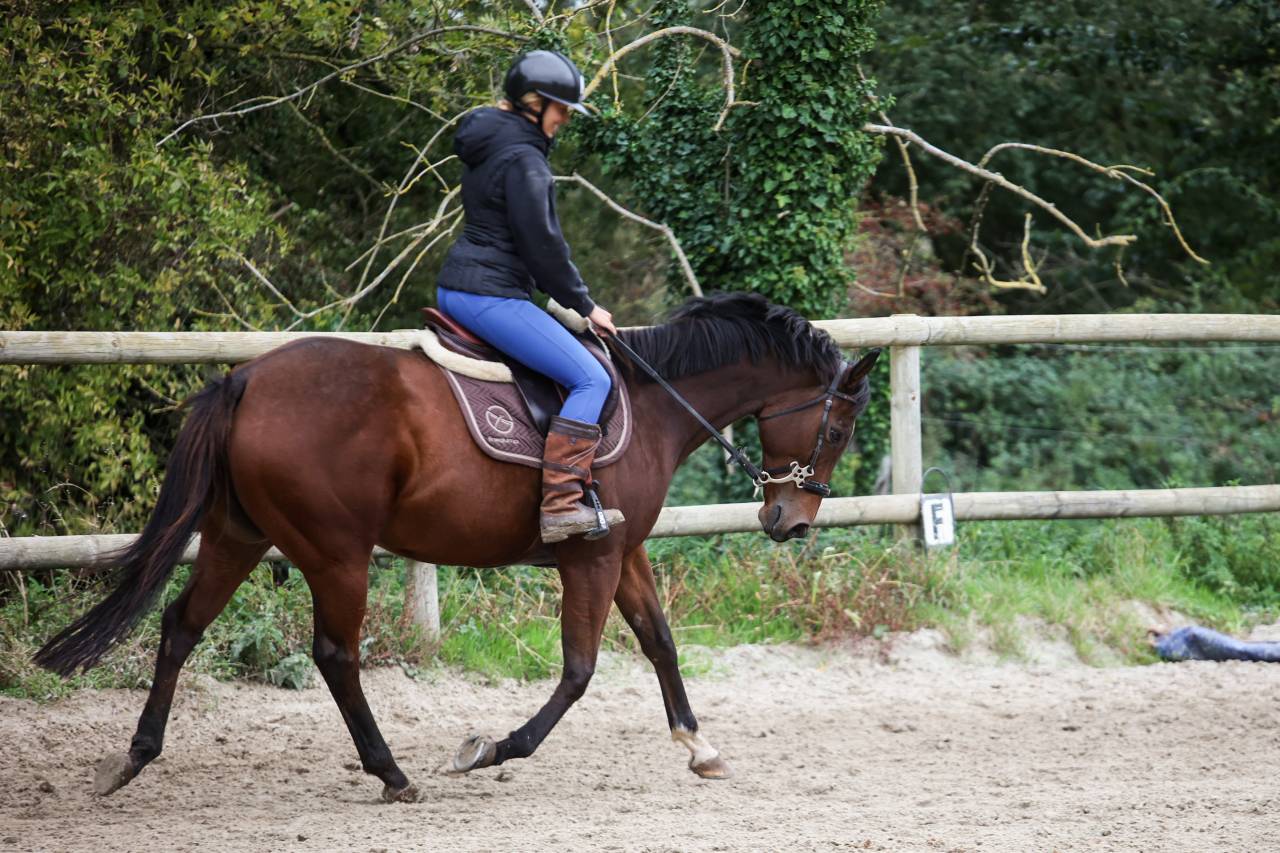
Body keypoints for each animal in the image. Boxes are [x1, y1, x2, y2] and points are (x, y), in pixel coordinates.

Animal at [34, 292, 880, 802]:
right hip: (336, 553)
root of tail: (245, 381)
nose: (791, 520)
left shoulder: (624, 550)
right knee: (335, 654)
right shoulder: (592, 558)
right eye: (838, 426)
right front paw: (491, 747)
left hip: (238, 537)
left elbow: (661, 642)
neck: (652, 402)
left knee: (181, 626)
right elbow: (579, 671)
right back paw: (392, 772)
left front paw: (699, 747)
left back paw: (133, 757)